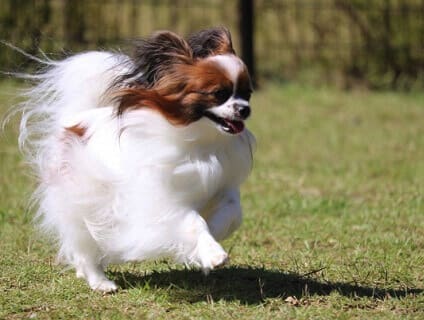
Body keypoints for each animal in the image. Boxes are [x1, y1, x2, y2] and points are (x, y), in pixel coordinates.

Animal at [12, 28, 255, 292]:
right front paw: (212, 254)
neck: (201, 141)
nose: (244, 109)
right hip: (83, 204)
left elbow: (231, 214)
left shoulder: (223, 186)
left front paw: (209, 239)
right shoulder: (162, 199)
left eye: (247, 94)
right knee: (84, 247)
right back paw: (100, 282)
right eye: (219, 94)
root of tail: (76, 120)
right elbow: (193, 222)